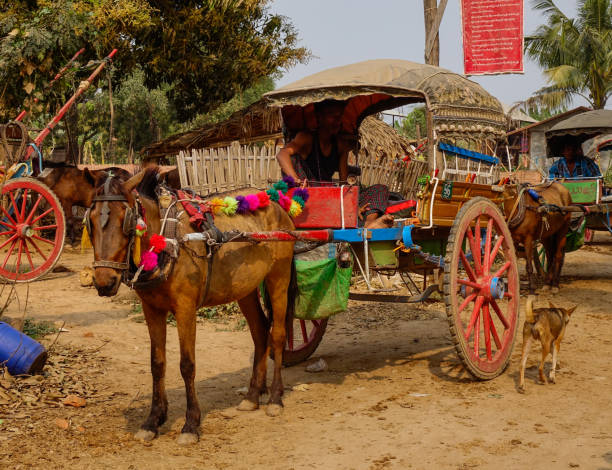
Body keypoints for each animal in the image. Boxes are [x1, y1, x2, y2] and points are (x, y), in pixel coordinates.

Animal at [87, 168, 296, 444]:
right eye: (90, 222)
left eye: (126, 219)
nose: (104, 282)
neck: (167, 240)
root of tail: (275, 204)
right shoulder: (151, 310)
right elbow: (157, 363)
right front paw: (153, 420)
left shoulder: (185, 309)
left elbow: (187, 365)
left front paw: (191, 424)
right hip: (246, 288)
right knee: (261, 333)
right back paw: (252, 396)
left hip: (279, 277)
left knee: (278, 335)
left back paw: (274, 398)